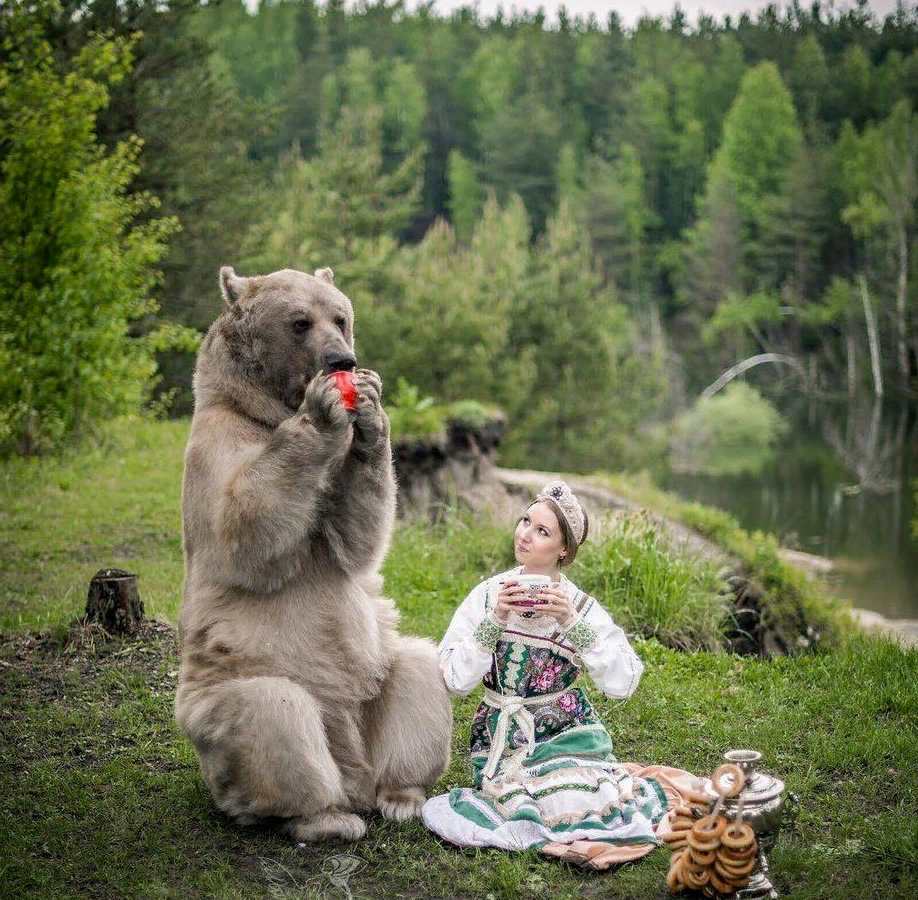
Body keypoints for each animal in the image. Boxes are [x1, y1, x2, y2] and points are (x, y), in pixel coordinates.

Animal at [173, 264, 452, 840]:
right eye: (300, 322)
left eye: (340, 317)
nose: (341, 361)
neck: (261, 410)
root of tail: (352, 775)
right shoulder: (215, 443)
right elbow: (243, 527)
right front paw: (323, 409)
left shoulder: (338, 476)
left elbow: (357, 539)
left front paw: (370, 410)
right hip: (221, 700)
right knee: (272, 715)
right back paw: (323, 818)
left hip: (373, 679)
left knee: (417, 668)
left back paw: (401, 796)